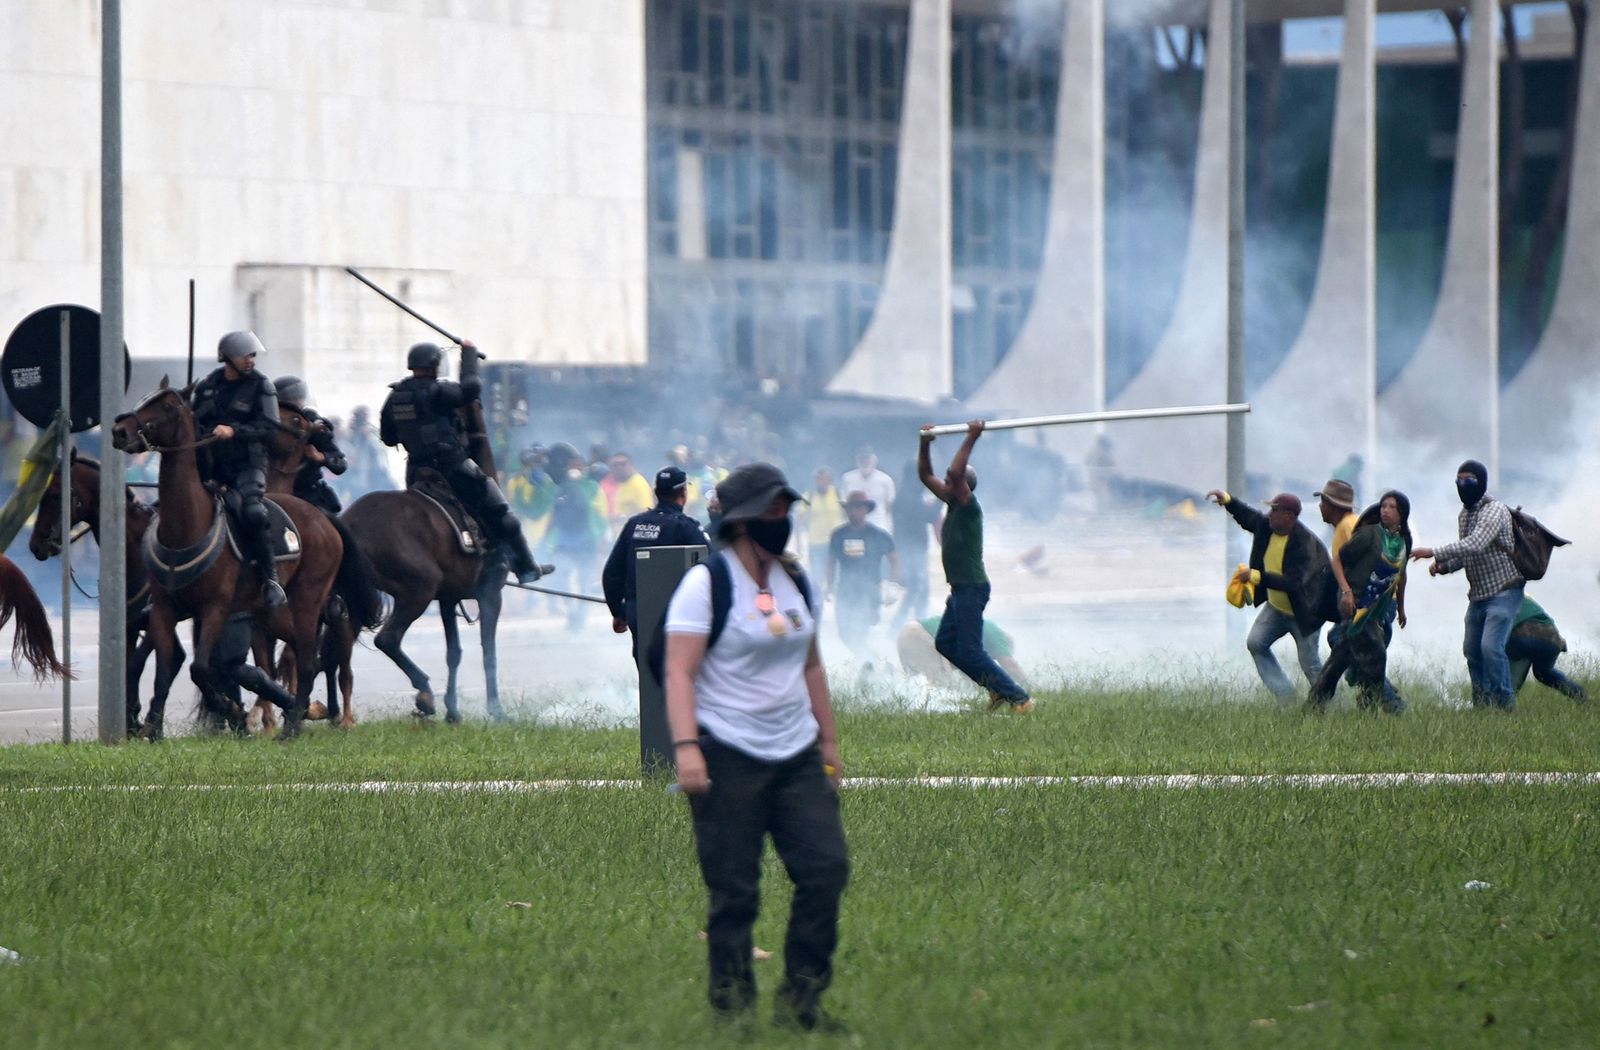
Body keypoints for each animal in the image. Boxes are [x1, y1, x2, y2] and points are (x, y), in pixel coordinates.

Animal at [28, 451, 181, 729]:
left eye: (55, 494)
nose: (36, 545)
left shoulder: (153, 618)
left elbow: (138, 664)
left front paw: (137, 721)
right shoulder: (130, 624)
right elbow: (131, 664)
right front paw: (131, 720)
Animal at [114, 379, 345, 739]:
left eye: (167, 406)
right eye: (144, 399)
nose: (120, 431)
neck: (185, 526)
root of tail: (325, 524)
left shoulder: (215, 609)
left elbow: (198, 667)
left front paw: (229, 708)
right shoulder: (165, 611)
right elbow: (165, 669)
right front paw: (153, 728)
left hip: (306, 602)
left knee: (307, 660)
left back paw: (292, 725)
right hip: (273, 615)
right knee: (297, 657)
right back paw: (298, 710)